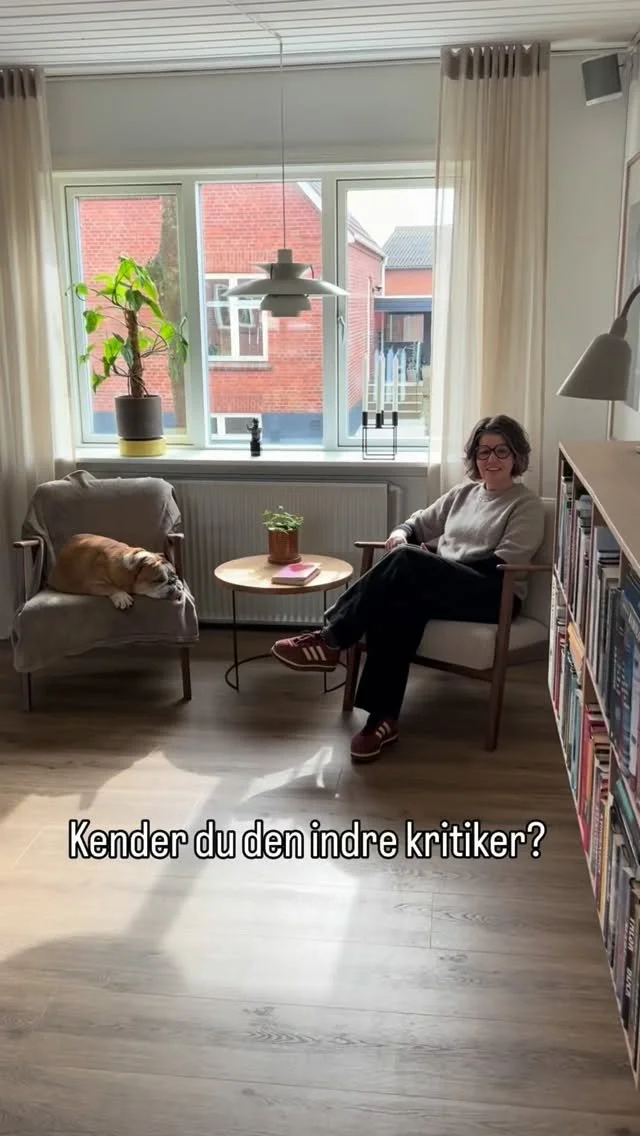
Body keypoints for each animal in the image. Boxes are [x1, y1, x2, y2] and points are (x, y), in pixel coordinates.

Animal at [49, 533, 184, 610]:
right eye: (158, 580)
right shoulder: (92, 583)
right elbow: (109, 586)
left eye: (176, 576)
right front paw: (122, 596)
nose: (175, 583)